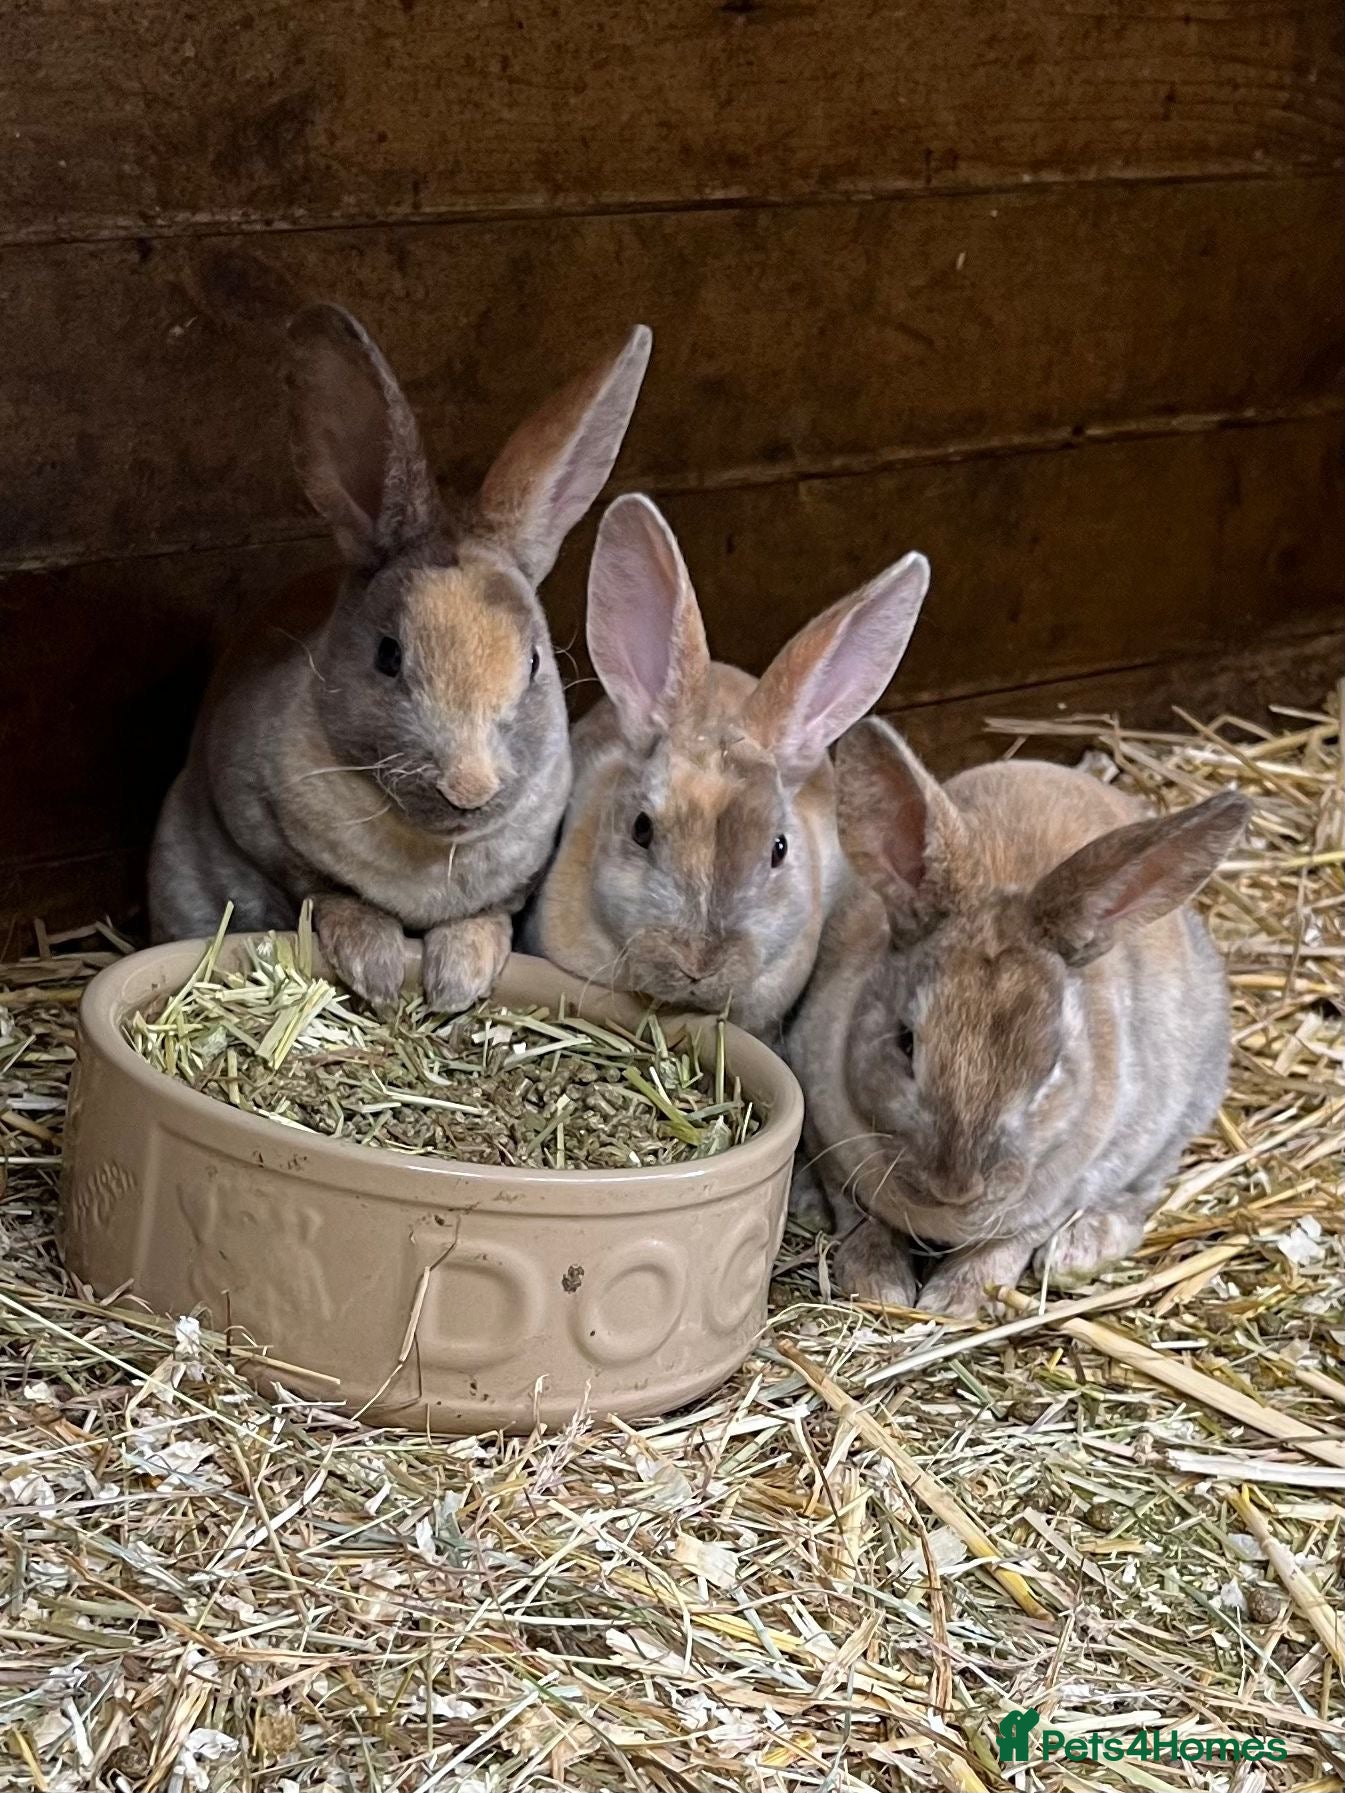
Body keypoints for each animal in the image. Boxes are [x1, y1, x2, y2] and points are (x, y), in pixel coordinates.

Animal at [149, 305, 651, 1011]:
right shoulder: (265, 827)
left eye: (532, 664)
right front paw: (380, 972)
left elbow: (487, 915)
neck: (433, 846)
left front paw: (458, 978)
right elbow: (329, 895)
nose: (468, 787)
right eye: (388, 656)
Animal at [787, 716, 1250, 1315]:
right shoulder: (828, 1140)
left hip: (1178, 1114)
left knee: (1141, 1193)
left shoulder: (1058, 1194)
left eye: (1049, 1069)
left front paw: (952, 1301)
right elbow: (858, 1214)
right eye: (905, 1042)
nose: (955, 1187)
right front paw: (879, 1282)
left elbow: (1005, 1246)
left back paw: (1079, 1251)